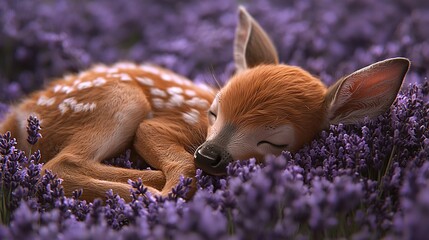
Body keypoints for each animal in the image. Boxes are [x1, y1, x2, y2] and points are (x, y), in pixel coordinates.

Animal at [0, 6, 408, 200]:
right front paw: (169, 190)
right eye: (213, 111)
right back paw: (147, 187)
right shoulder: (167, 126)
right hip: (121, 98)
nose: (208, 156)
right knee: (59, 164)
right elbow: (169, 151)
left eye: (274, 142)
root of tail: (18, 116)